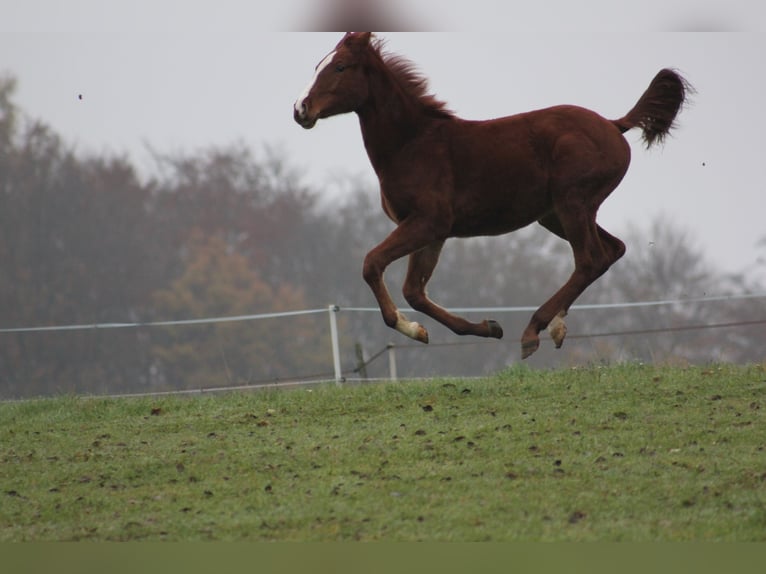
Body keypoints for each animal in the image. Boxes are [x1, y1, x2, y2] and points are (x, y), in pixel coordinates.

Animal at [292, 32, 688, 360]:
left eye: (340, 66)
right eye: (318, 65)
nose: (300, 110)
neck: (412, 143)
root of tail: (613, 125)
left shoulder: (428, 222)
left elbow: (372, 263)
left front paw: (408, 327)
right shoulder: (432, 232)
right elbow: (415, 291)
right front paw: (482, 328)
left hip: (573, 203)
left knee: (590, 259)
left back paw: (534, 330)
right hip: (556, 214)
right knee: (611, 250)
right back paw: (556, 326)